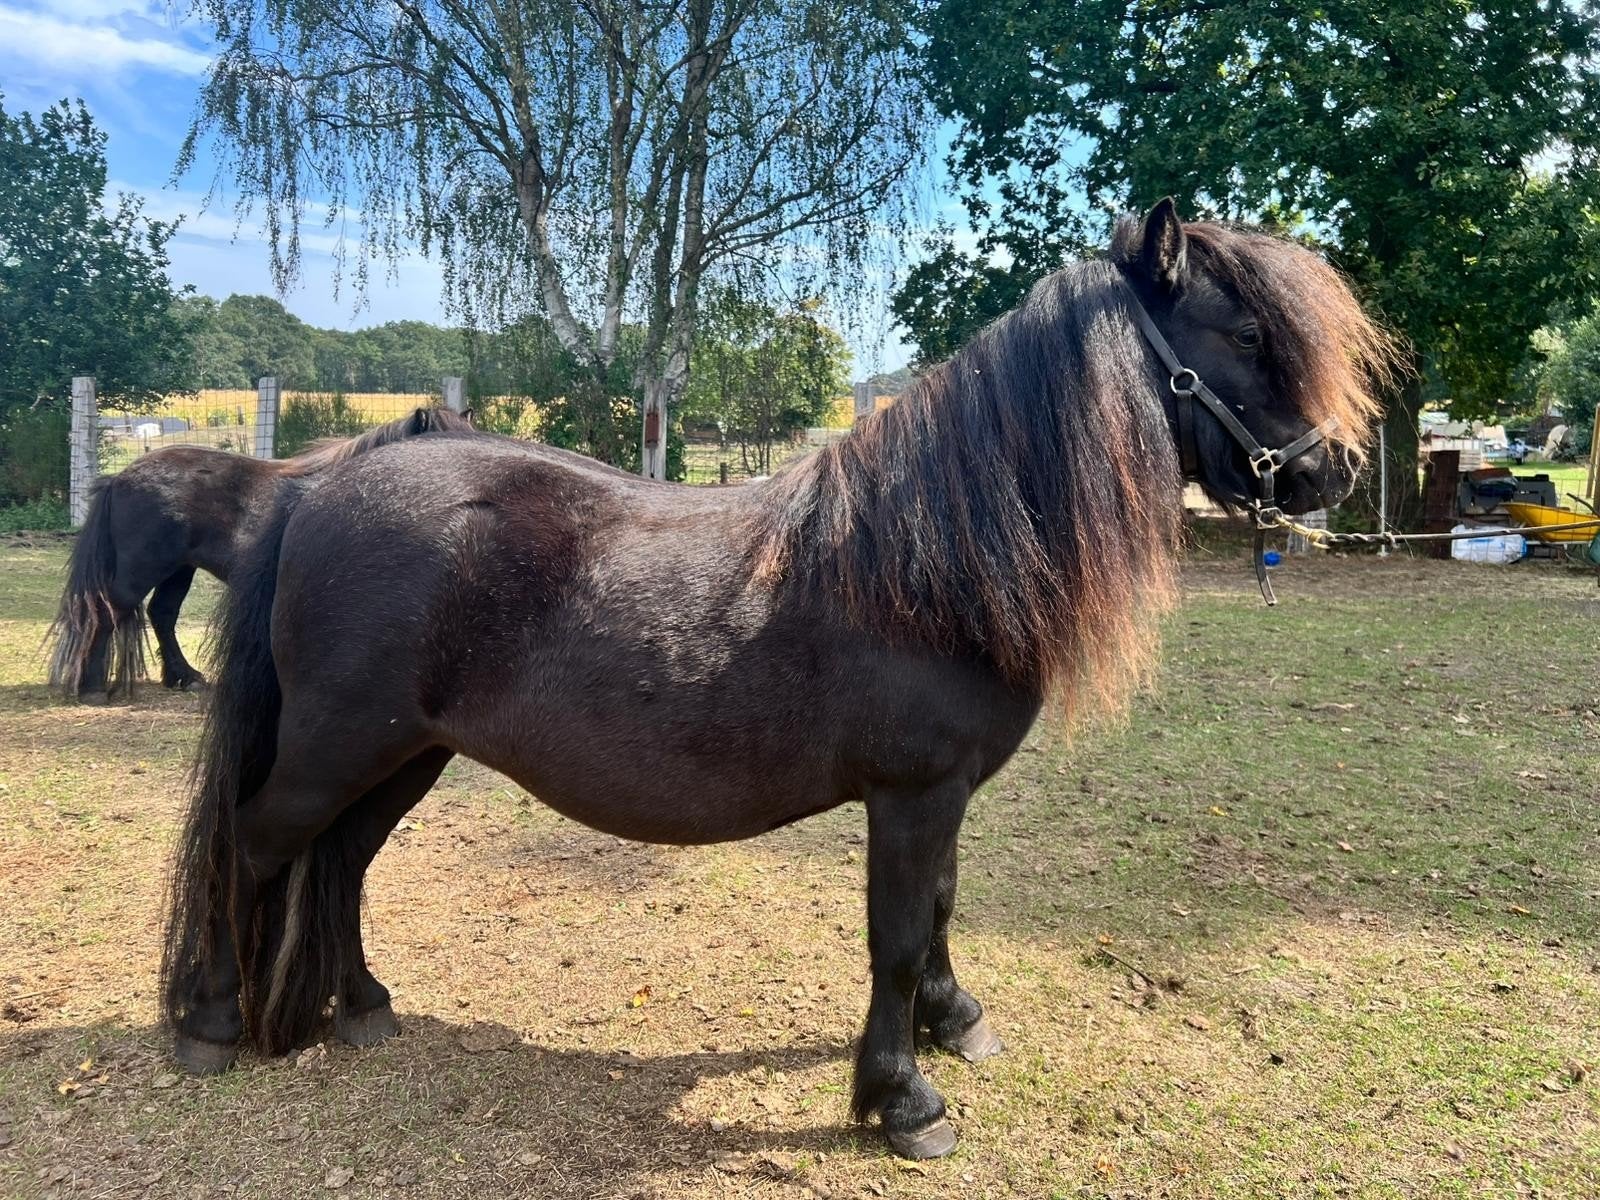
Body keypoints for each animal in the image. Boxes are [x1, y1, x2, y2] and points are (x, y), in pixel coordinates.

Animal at [46, 406, 475, 703]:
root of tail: (120, 478)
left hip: (179, 569)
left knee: (162, 615)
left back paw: (185, 677)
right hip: (144, 567)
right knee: (109, 610)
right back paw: (93, 687)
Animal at [160, 202, 1394, 1159]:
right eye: (1243, 329)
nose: (1333, 470)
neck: (934, 557)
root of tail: (317, 489)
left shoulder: (942, 796)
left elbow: (939, 910)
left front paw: (955, 1021)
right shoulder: (911, 794)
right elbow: (896, 935)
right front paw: (902, 1101)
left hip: (402, 755)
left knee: (339, 861)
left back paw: (360, 1008)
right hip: (336, 748)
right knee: (256, 844)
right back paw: (214, 1022)